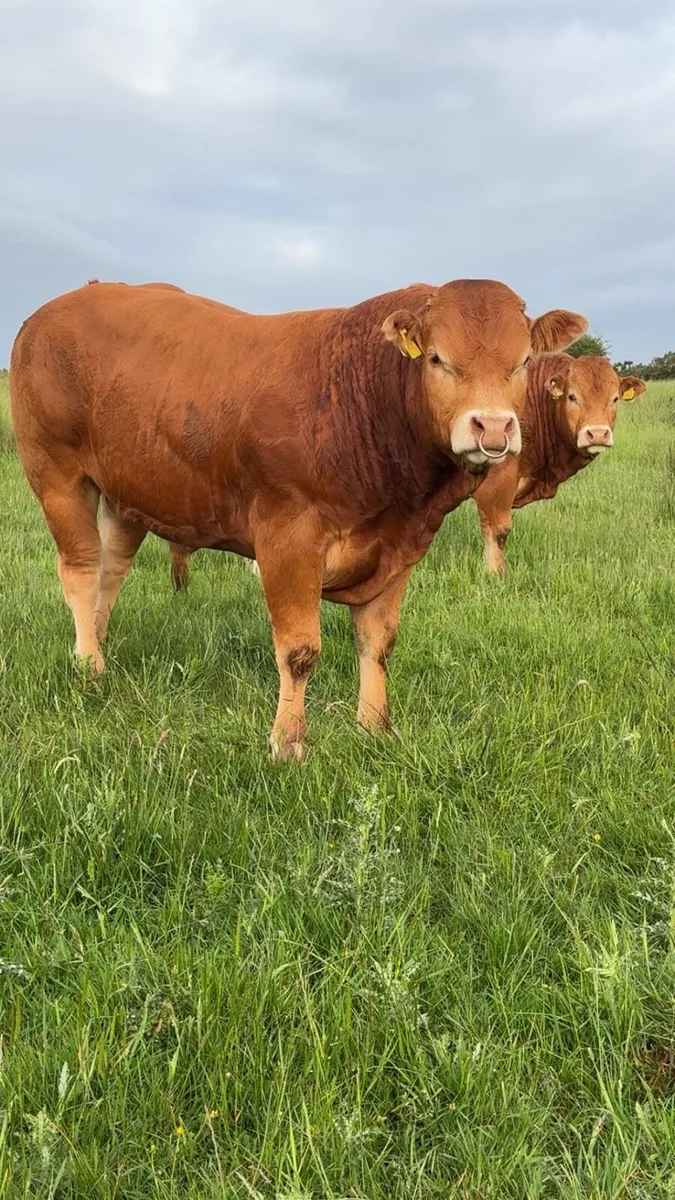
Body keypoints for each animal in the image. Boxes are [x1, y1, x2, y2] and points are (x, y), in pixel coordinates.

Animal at [9, 279, 587, 761]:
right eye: (437, 359)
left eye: (523, 360)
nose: (493, 426)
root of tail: (53, 308)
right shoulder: (287, 538)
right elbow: (299, 651)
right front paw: (287, 743)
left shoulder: (398, 549)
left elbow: (378, 644)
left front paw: (373, 728)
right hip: (57, 473)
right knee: (80, 569)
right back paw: (88, 663)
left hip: (127, 492)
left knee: (111, 570)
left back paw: (98, 641)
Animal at [473, 353, 646, 576]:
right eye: (572, 397)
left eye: (615, 399)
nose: (598, 434)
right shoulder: (496, 483)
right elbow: (498, 531)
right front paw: (495, 574)